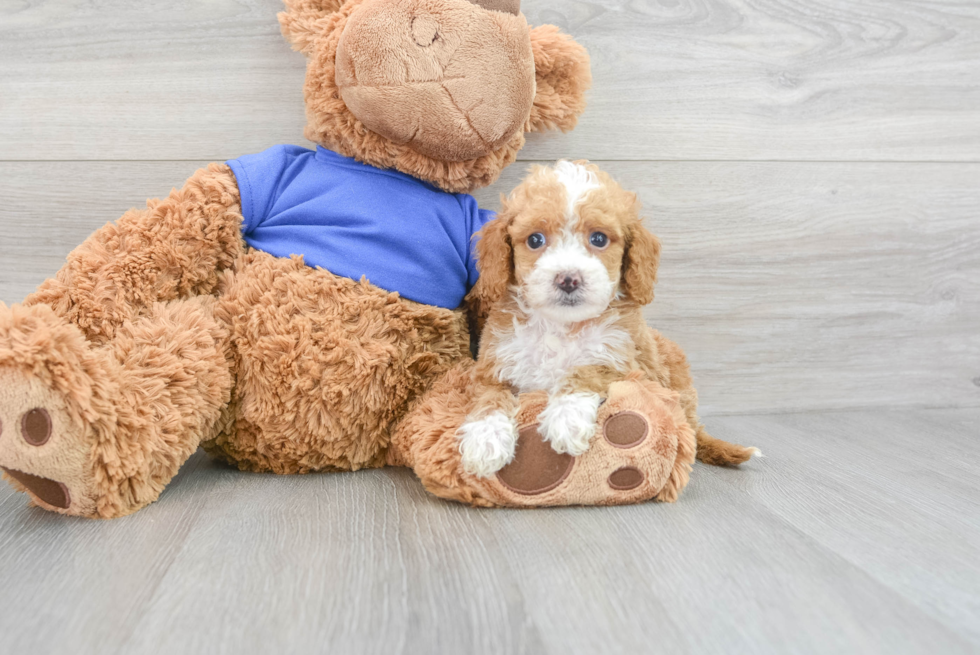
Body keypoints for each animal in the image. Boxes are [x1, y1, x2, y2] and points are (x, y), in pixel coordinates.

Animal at [460, 159, 756, 476]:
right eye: (535, 240)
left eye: (599, 238)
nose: (568, 279)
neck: (562, 325)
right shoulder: (493, 364)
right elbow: (489, 396)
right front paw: (485, 438)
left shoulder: (627, 364)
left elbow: (587, 370)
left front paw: (567, 417)